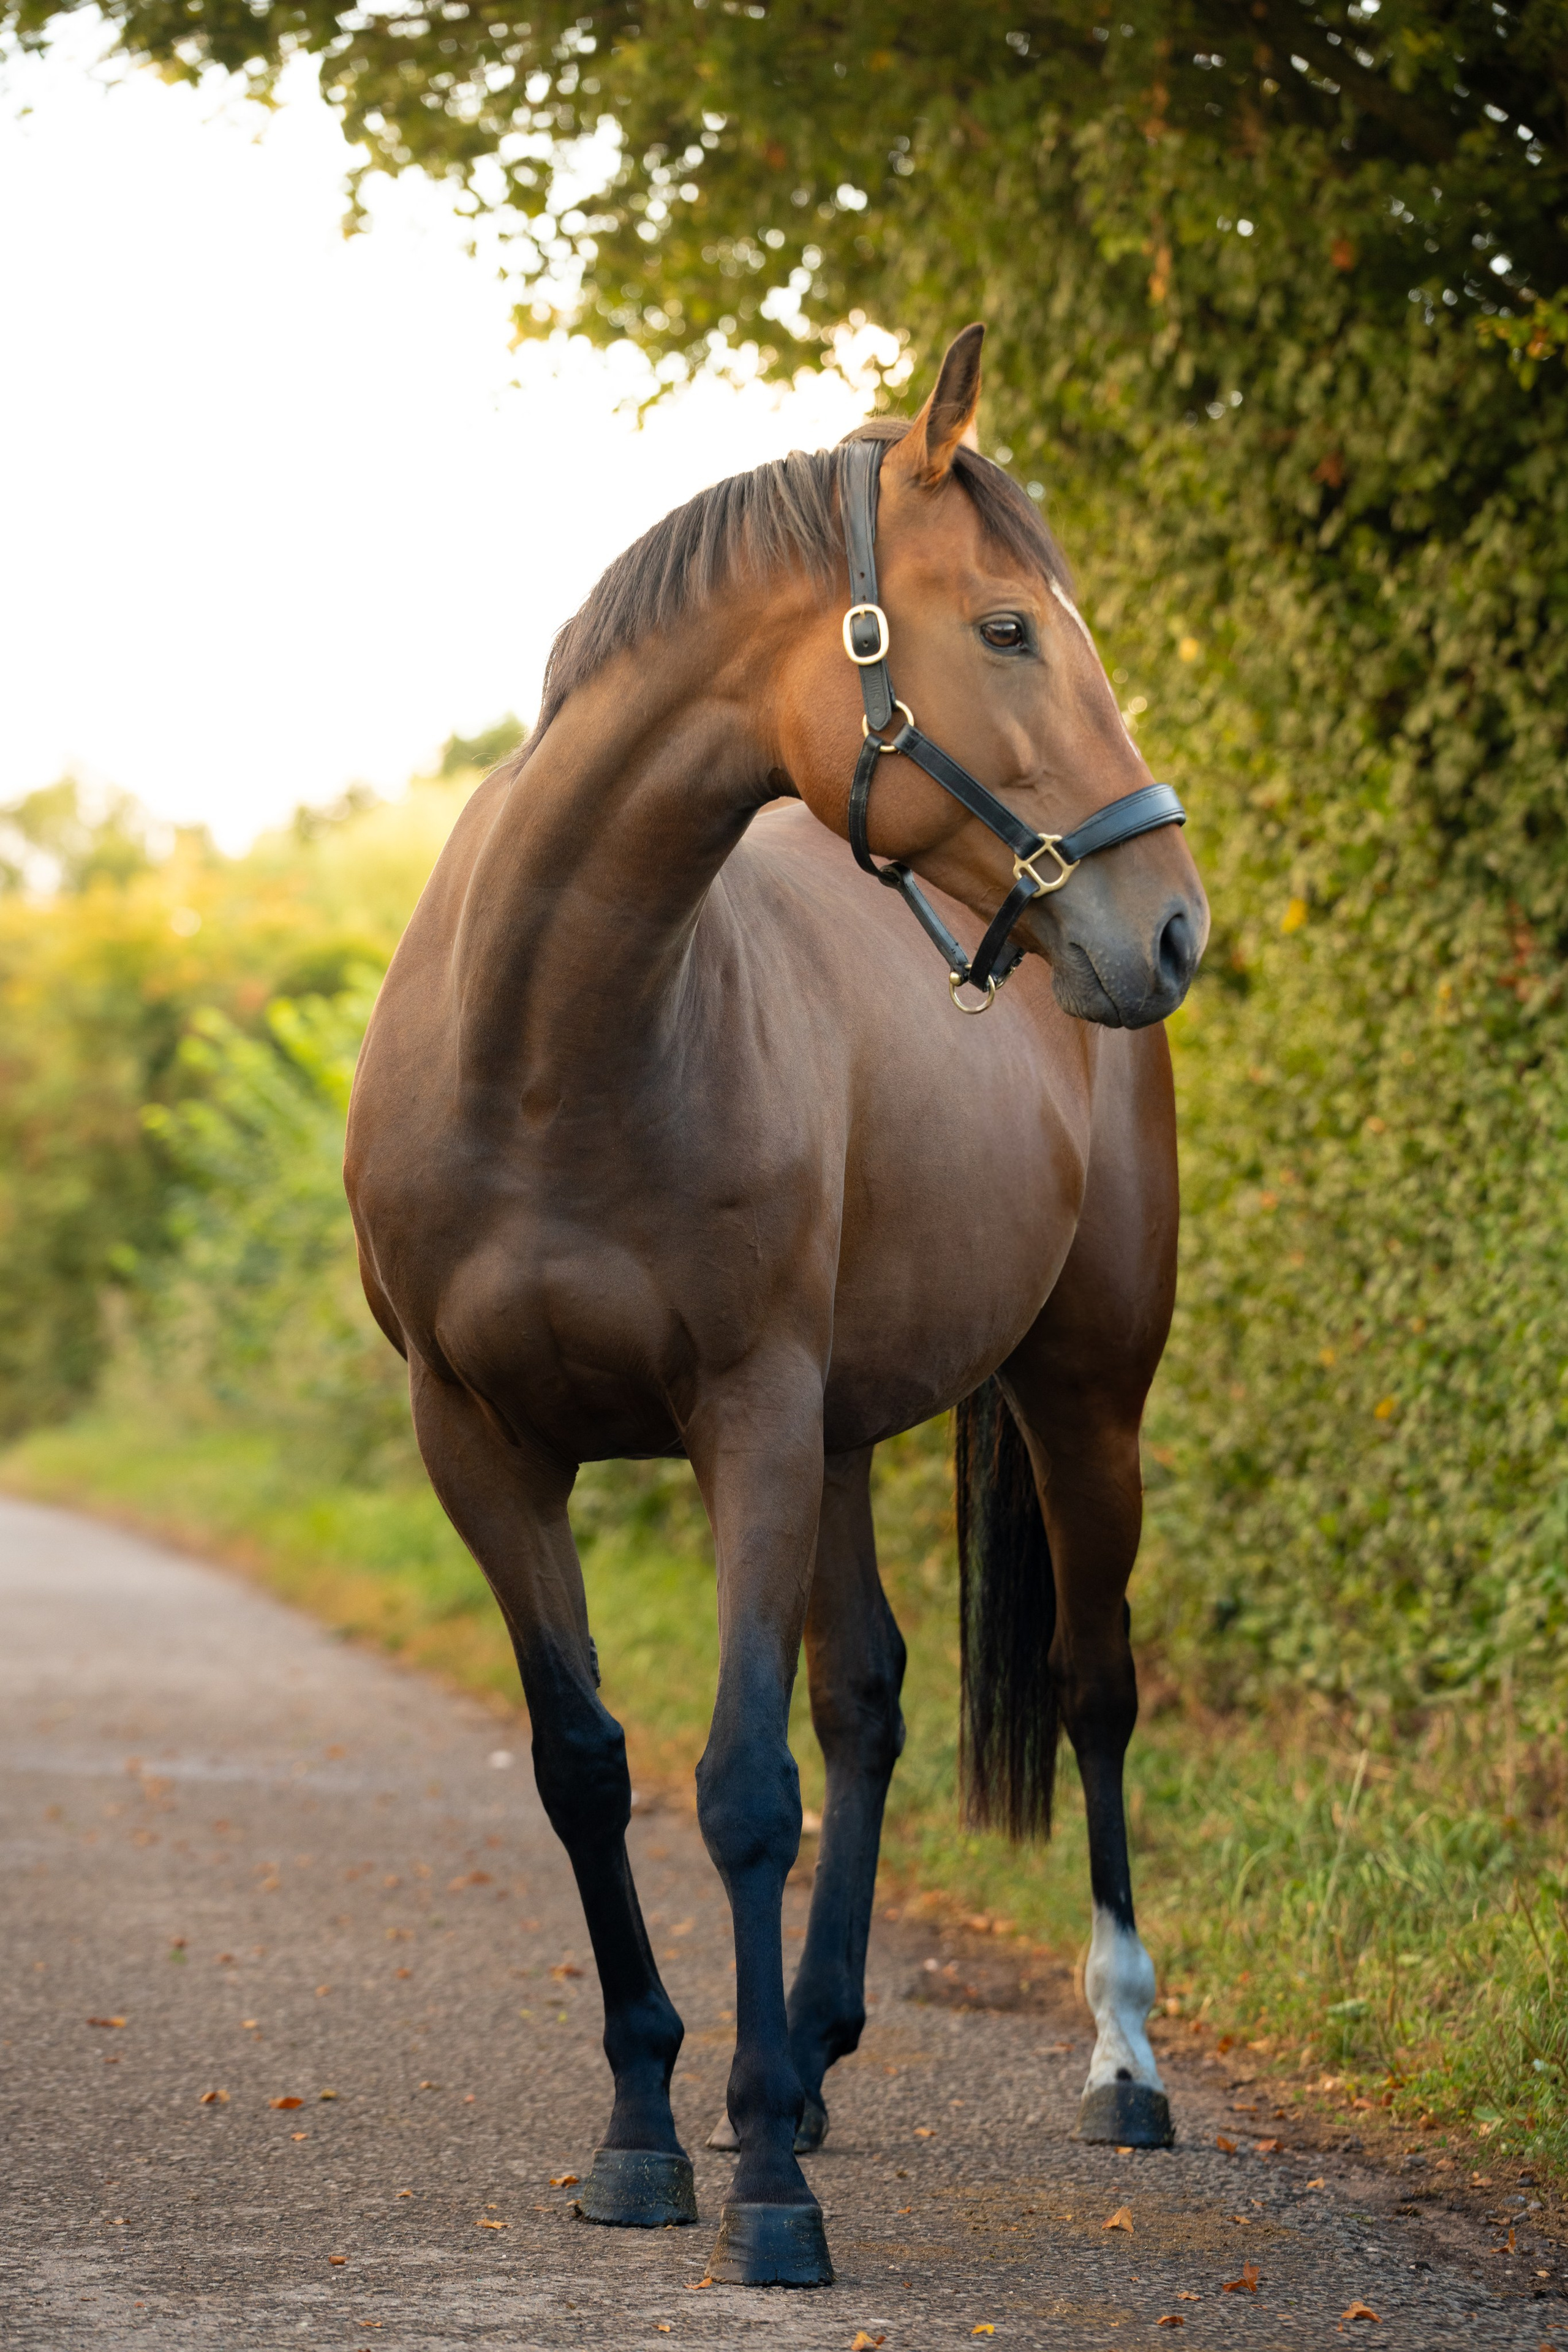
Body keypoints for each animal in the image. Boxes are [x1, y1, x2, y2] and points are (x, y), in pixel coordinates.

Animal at [344, 322, 1209, 2288]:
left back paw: (1117, 2061)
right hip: (844, 1435)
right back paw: (811, 2048)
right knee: (870, 1696)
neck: (554, 1047)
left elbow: (741, 1786)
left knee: (1092, 1689)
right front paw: (648, 2130)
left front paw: (761, 2187)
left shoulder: (743, 1415)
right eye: (1008, 629)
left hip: (1080, 1395)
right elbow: (588, 1768)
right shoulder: (483, 1445)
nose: (1172, 925)